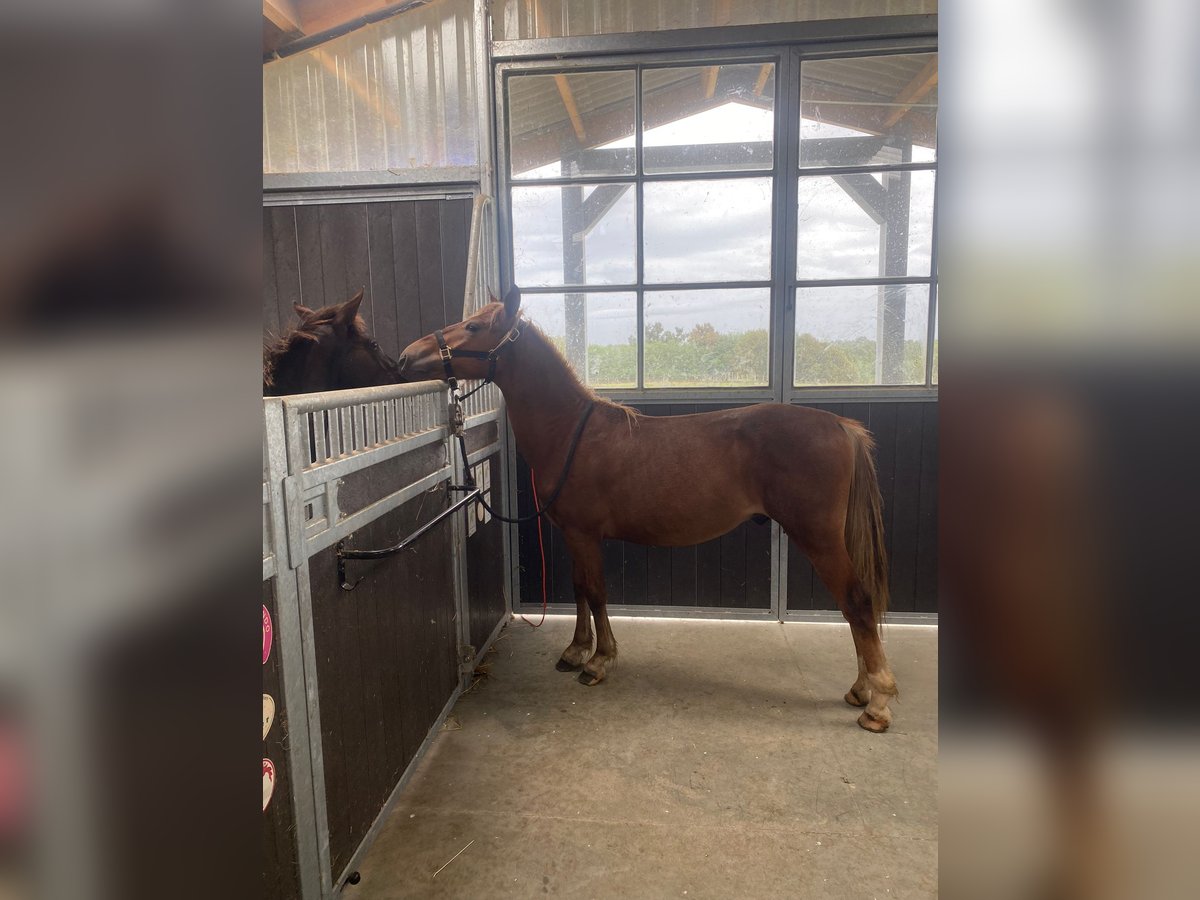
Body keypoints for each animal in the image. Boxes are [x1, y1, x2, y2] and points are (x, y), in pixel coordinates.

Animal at [398, 289, 897, 734]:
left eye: (474, 327)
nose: (406, 356)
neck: (571, 431)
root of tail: (841, 426)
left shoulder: (584, 534)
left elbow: (596, 592)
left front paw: (599, 661)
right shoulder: (572, 534)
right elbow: (579, 589)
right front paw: (576, 651)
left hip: (819, 538)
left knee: (857, 601)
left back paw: (877, 703)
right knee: (855, 607)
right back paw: (861, 689)